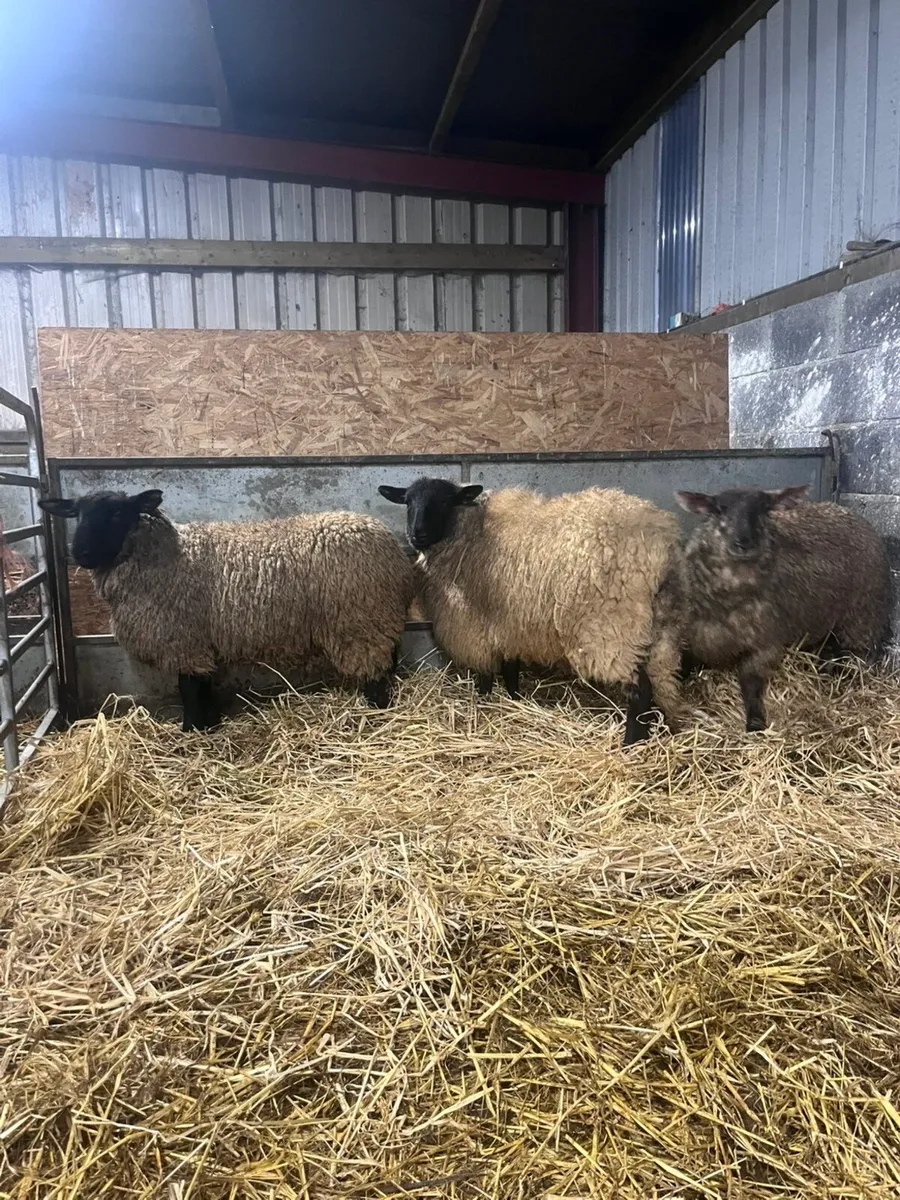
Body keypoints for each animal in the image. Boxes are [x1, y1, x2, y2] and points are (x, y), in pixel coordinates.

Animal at [40, 489, 415, 732]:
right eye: (76, 513)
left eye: (117, 512)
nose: (80, 552)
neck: (166, 557)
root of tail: (391, 545)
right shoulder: (200, 644)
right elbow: (202, 685)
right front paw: (210, 723)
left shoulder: (183, 641)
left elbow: (189, 689)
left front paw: (191, 730)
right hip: (377, 619)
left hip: (360, 619)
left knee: (375, 672)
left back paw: (376, 712)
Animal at [378, 477, 684, 747]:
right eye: (408, 501)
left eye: (444, 501)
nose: (416, 534)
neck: (466, 530)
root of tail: (661, 546)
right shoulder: (509, 622)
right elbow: (511, 670)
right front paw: (515, 701)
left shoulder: (474, 627)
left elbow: (486, 675)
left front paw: (484, 704)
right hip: (658, 630)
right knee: (662, 682)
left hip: (611, 628)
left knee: (640, 690)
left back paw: (631, 744)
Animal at [674, 484, 892, 732]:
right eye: (719, 509)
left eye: (763, 508)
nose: (743, 542)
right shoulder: (694, 641)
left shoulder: (766, 643)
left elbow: (751, 684)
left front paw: (755, 722)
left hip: (863, 619)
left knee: (862, 657)